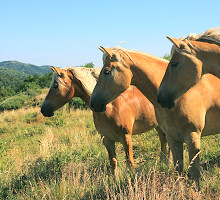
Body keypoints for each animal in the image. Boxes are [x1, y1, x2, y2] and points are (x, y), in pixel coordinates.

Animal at [40, 66, 168, 174]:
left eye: (55, 85)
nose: (43, 109)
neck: (110, 106)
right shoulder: (107, 139)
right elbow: (113, 162)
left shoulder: (126, 138)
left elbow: (130, 163)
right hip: (157, 125)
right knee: (163, 140)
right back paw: (164, 162)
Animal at [89, 46, 220, 185]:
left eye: (107, 71)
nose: (93, 103)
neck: (179, 96)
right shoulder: (173, 137)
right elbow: (178, 169)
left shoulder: (193, 137)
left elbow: (194, 173)